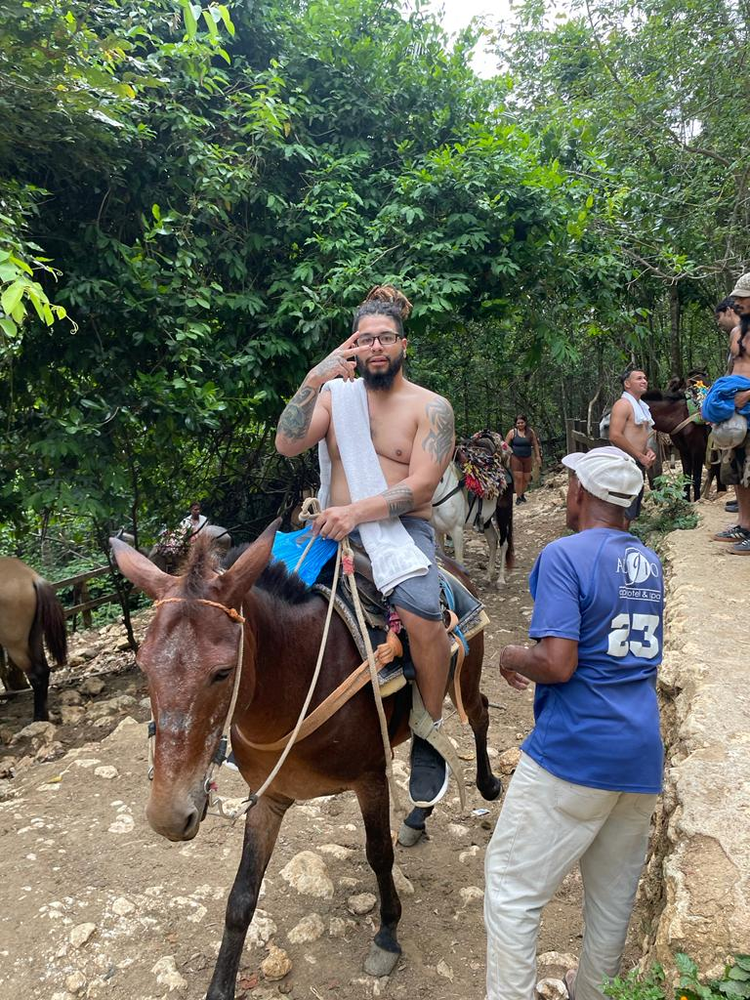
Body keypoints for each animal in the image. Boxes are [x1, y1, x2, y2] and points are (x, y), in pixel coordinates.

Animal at [0, 560, 68, 724]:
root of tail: (32, 577)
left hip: (16, 645)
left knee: (35, 675)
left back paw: (38, 717)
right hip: (35, 637)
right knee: (43, 671)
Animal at [110, 528, 500, 996]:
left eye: (222, 672)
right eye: (144, 666)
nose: (168, 816)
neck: (298, 683)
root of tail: (452, 566)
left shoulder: (371, 778)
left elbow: (379, 854)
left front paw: (387, 933)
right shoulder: (268, 797)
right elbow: (241, 896)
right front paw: (220, 985)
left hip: (465, 678)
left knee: (479, 713)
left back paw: (488, 785)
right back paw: (416, 818)